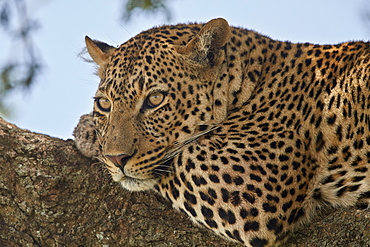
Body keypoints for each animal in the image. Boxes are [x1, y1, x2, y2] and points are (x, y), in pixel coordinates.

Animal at [74, 18, 370, 246]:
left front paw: (86, 133)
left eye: (155, 99)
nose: (116, 159)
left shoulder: (248, 190)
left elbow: (175, 161)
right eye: (104, 104)